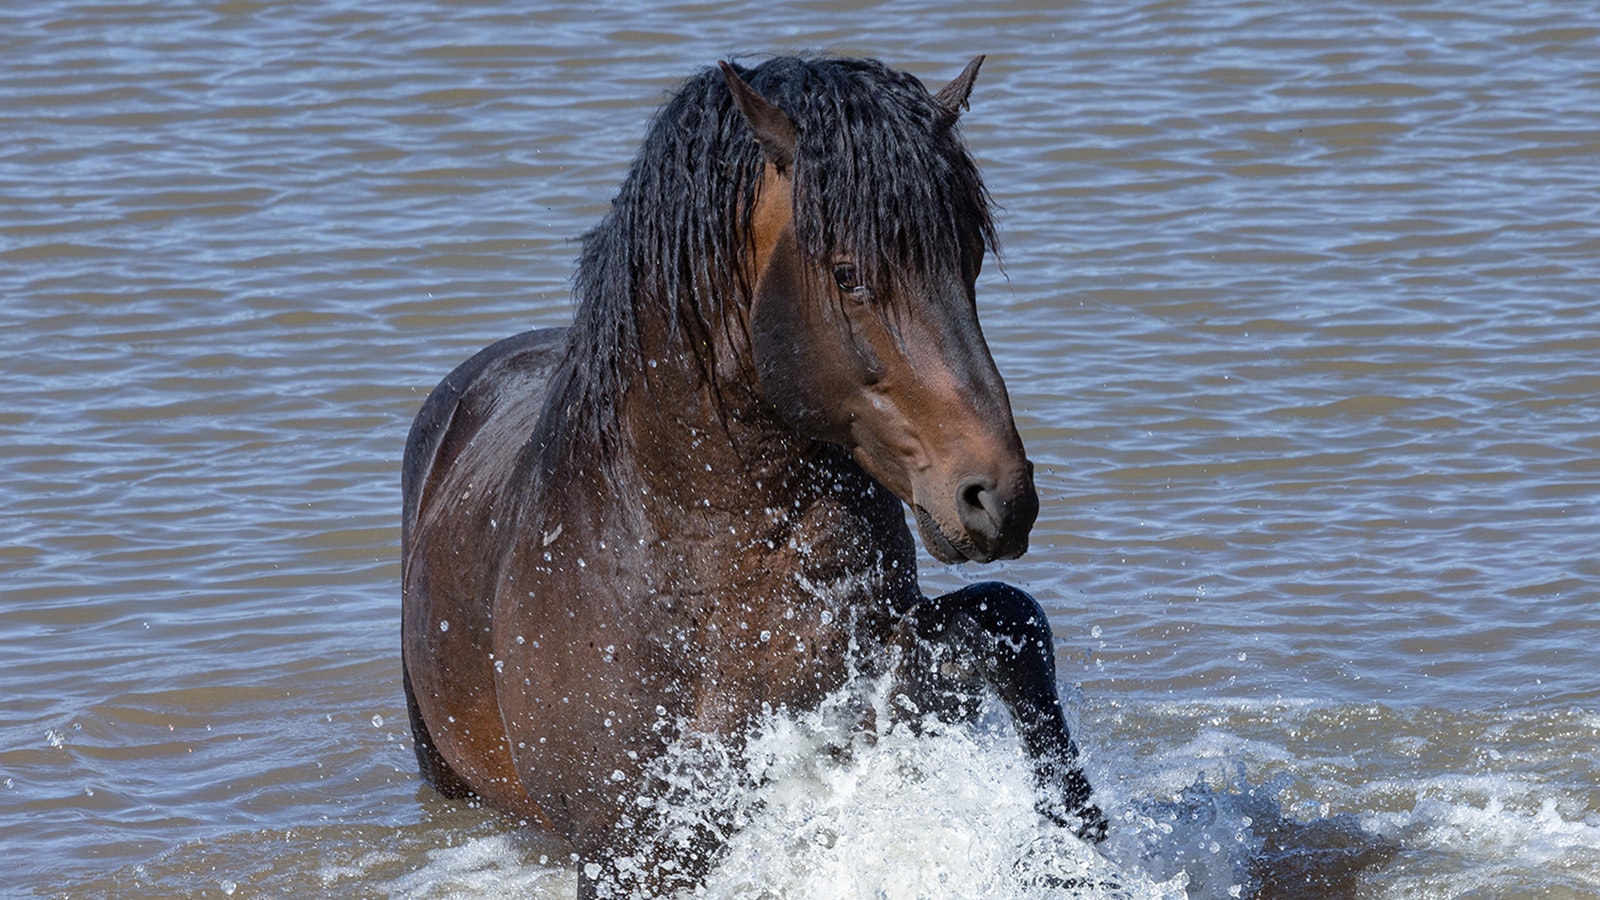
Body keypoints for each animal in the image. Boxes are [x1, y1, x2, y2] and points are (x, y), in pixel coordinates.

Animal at [400, 54, 1107, 890]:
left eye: (968, 259)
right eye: (848, 274)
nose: (998, 497)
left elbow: (1008, 620)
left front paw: (1075, 833)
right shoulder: (626, 848)